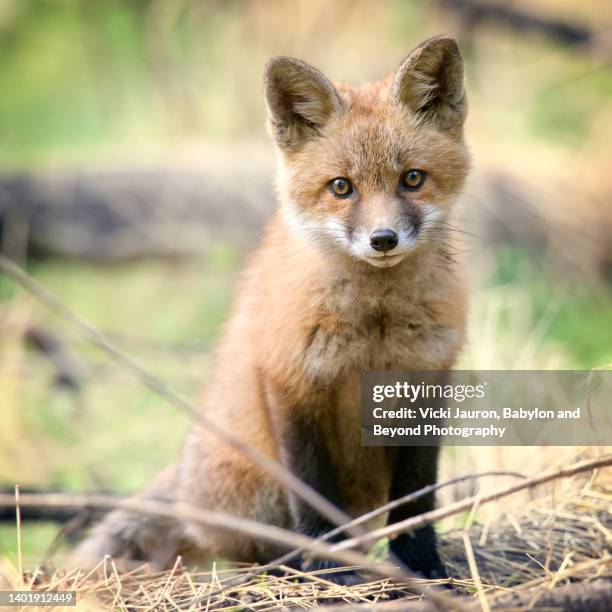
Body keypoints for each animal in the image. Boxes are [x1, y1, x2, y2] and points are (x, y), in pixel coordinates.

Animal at [76, 35, 468, 580]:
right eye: (341, 186)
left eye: (413, 179)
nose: (383, 239)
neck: (375, 329)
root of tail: (186, 488)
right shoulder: (290, 381)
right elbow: (312, 492)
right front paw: (326, 567)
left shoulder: (428, 382)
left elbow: (417, 495)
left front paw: (422, 565)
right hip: (255, 490)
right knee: (248, 547)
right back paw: (286, 566)